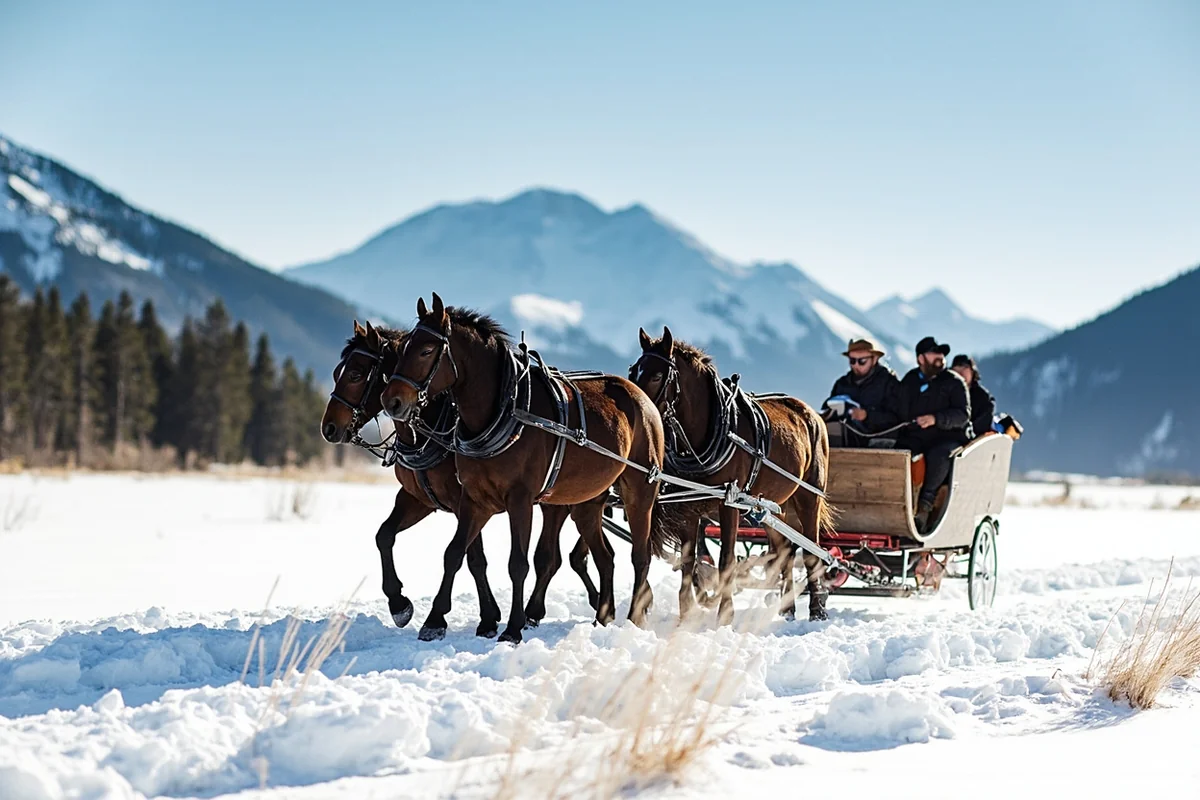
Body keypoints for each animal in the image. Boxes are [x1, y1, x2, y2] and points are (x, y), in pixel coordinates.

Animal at [320, 320, 601, 639]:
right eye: (336, 373)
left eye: (355, 374)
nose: (329, 428)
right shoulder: (419, 498)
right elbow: (384, 535)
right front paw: (399, 603)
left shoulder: (464, 500)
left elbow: (474, 559)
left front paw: (481, 618)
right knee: (552, 557)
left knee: (551, 556)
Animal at [380, 293, 669, 643]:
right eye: (403, 349)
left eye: (425, 351)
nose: (391, 401)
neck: (501, 412)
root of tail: (644, 400)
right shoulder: (474, 500)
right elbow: (455, 553)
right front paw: (434, 621)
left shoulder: (520, 500)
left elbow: (517, 563)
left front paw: (513, 627)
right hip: (588, 502)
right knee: (605, 558)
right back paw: (602, 617)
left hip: (640, 490)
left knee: (639, 555)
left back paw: (634, 617)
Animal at [630, 326, 834, 624]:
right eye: (633, 371)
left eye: (657, 376)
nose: (640, 411)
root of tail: (811, 414)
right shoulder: (687, 508)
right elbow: (688, 560)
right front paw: (686, 614)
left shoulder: (730, 505)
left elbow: (726, 559)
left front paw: (725, 614)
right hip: (771, 505)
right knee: (784, 550)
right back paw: (786, 608)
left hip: (809, 496)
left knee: (811, 550)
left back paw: (817, 609)